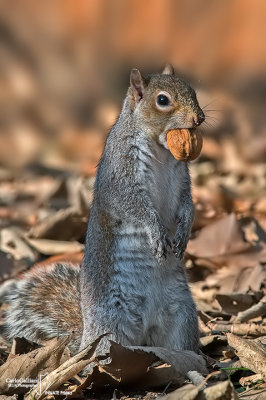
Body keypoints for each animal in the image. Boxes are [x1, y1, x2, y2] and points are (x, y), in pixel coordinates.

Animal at [1, 64, 206, 354]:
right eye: (162, 100)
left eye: (193, 90)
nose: (199, 118)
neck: (162, 149)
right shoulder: (119, 174)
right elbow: (134, 205)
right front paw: (156, 231)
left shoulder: (182, 179)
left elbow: (187, 202)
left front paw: (184, 231)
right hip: (111, 324)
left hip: (182, 314)